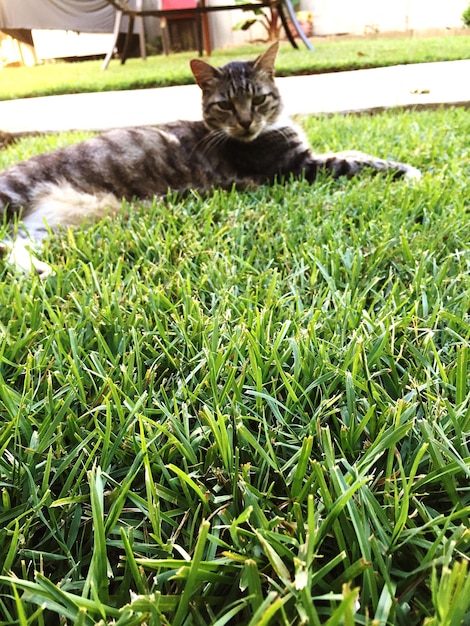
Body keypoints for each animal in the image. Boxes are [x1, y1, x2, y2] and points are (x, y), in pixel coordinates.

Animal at [0, 41, 420, 276]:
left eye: (258, 98)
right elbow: (356, 160)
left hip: (43, 227)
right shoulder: (297, 167)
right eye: (225, 105)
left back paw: (37, 270)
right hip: (13, 194)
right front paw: (409, 170)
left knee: (11, 247)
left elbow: (353, 151)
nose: (247, 121)